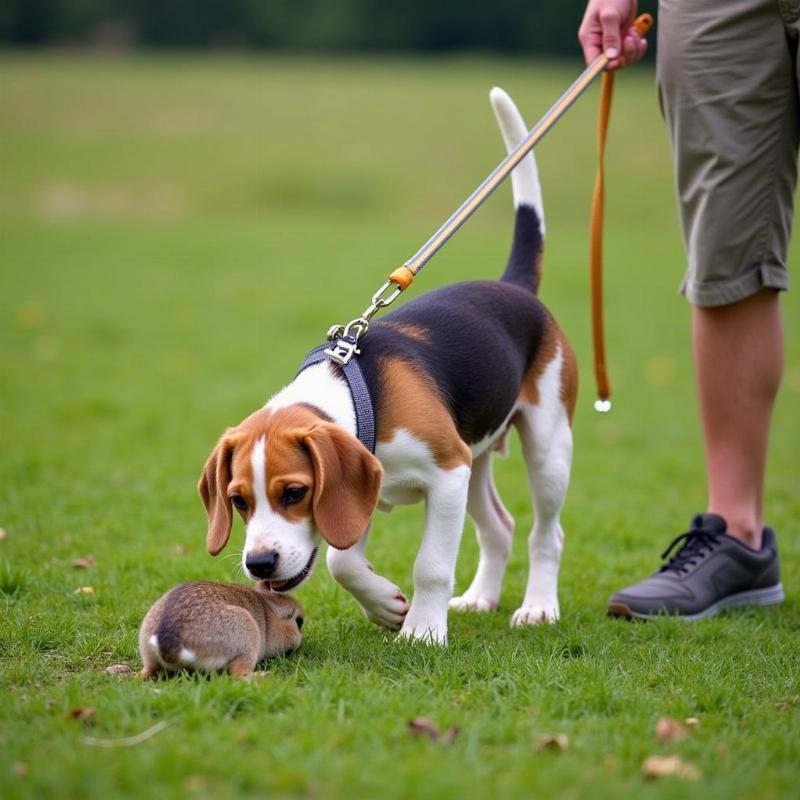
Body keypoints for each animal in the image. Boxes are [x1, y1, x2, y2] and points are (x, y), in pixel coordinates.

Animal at [199, 86, 576, 644]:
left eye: (294, 492)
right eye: (239, 500)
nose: (259, 564)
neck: (358, 393)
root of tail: (513, 286)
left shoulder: (447, 472)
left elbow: (431, 565)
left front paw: (421, 631)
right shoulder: (365, 489)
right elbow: (342, 562)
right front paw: (385, 605)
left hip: (546, 447)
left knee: (546, 532)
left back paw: (538, 607)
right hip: (477, 456)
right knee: (499, 528)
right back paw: (481, 598)